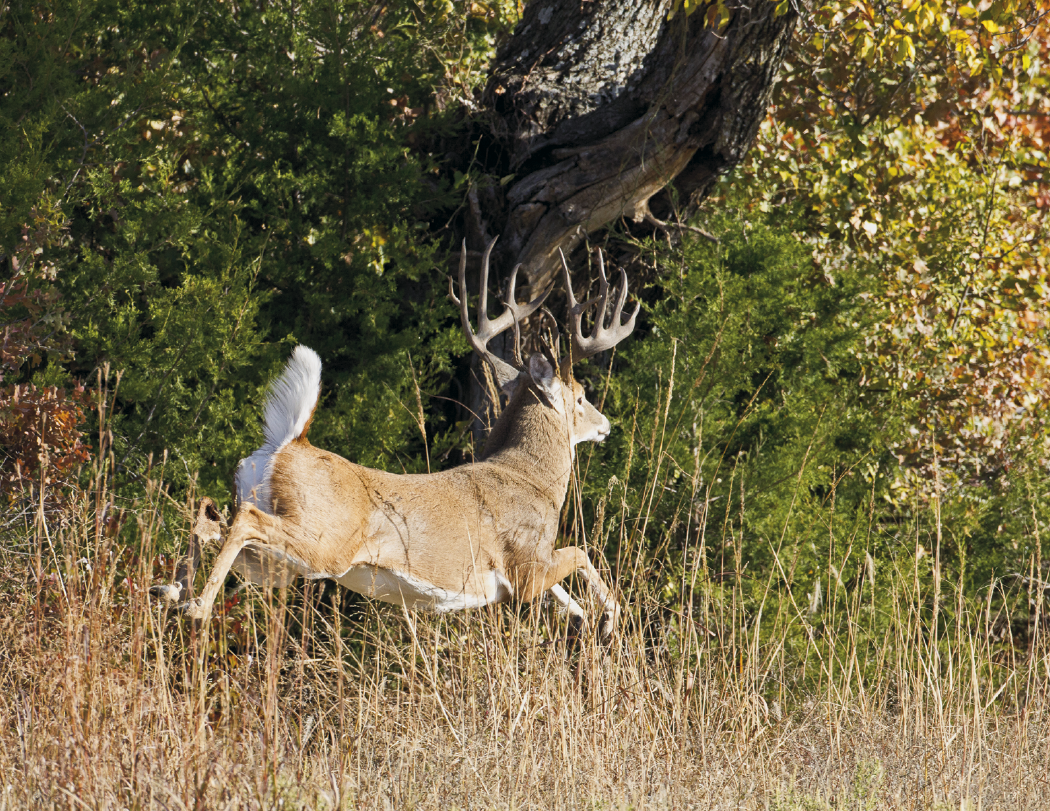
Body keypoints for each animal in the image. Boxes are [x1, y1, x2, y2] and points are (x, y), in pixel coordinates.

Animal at [152, 239, 637, 639]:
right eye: (580, 397)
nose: (605, 424)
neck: (531, 477)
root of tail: (289, 444)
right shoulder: (525, 563)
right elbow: (581, 551)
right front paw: (609, 619)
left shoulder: (528, 570)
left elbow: (565, 589)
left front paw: (584, 617)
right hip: (323, 542)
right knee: (245, 518)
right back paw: (194, 606)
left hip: (276, 562)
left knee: (211, 514)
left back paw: (170, 590)